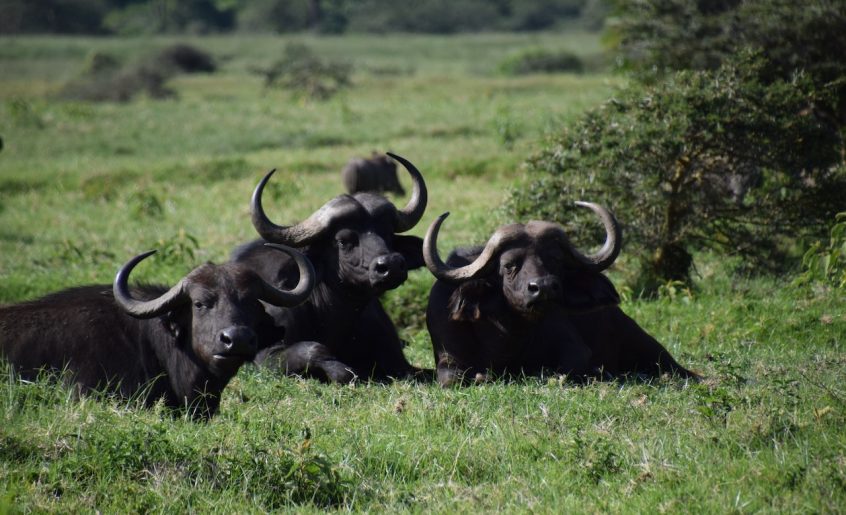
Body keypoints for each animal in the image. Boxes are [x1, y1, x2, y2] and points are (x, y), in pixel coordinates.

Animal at [230, 151, 428, 380]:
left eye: (387, 233)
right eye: (343, 240)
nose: (392, 265)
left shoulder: (399, 360)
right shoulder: (267, 355)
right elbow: (315, 350)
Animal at [422, 202, 696, 388]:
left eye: (555, 260)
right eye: (509, 265)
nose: (543, 287)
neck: (505, 336)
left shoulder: (575, 350)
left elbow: (562, 371)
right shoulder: (448, 356)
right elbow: (452, 379)